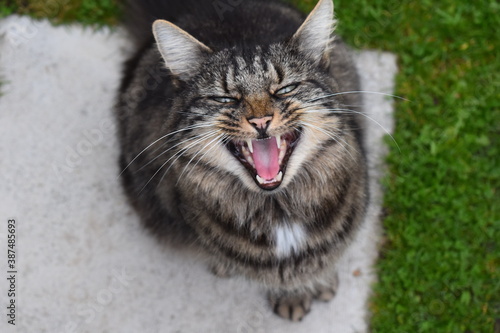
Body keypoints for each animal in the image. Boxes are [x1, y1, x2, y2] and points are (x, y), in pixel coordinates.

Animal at [116, 0, 368, 322]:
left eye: (285, 89)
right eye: (225, 99)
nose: (260, 120)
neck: (279, 211)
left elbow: (323, 258)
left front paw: (317, 282)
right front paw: (292, 294)